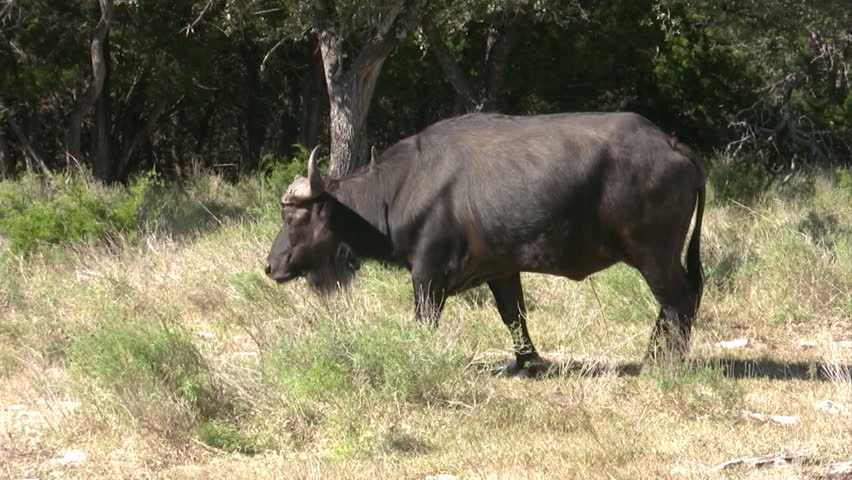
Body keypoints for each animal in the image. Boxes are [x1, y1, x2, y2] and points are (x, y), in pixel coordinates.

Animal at [266, 112, 705, 376]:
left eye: (293, 218)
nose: (271, 266)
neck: (400, 189)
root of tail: (671, 144)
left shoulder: (427, 275)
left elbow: (425, 321)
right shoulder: (503, 270)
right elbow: (514, 315)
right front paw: (527, 362)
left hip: (652, 254)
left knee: (677, 300)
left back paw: (662, 362)